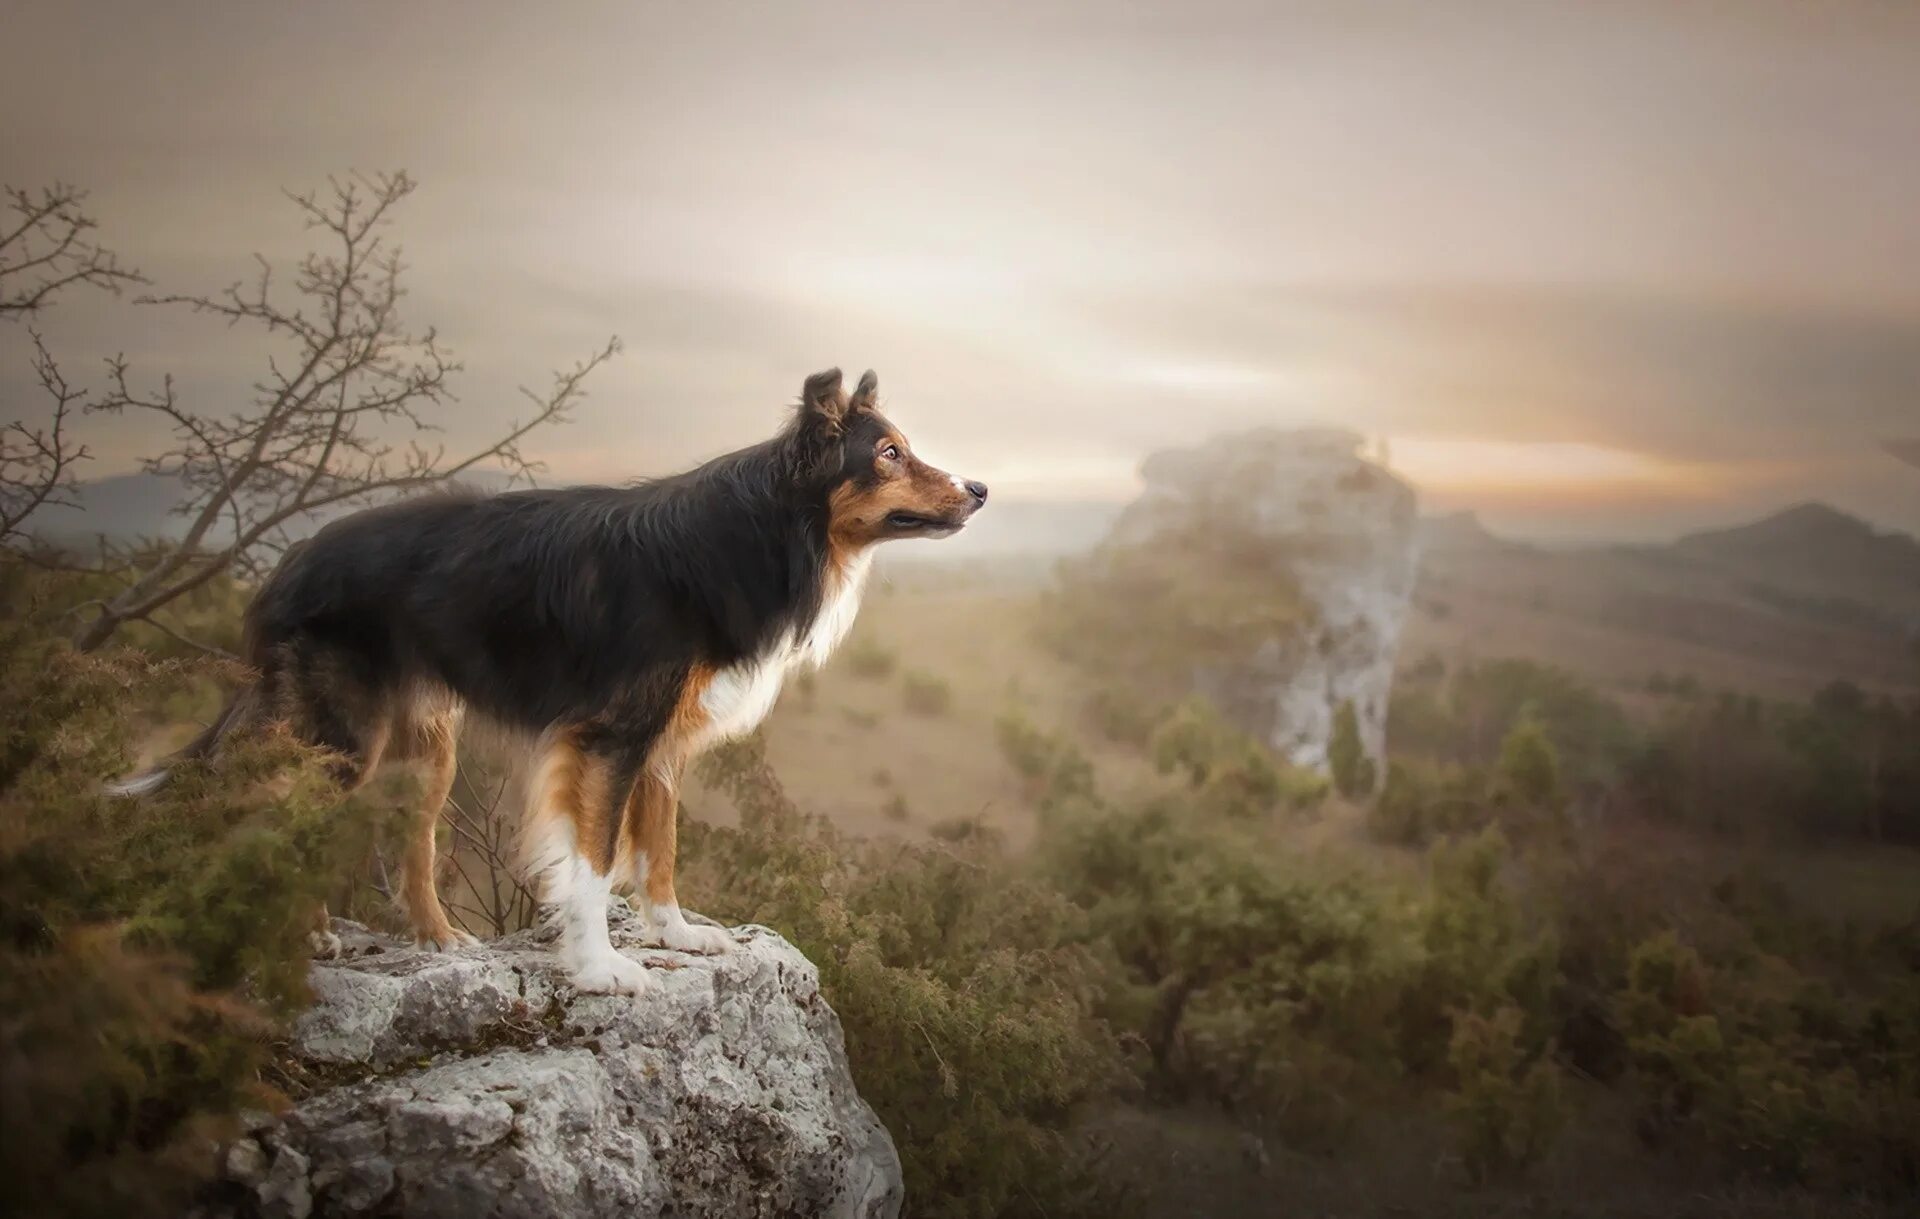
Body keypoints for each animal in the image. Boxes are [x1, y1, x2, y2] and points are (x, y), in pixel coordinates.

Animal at [112, 370, 990, 990]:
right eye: (888, 453)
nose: (980, 489)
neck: (759, 529)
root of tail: (289, 560)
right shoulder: (609, 738)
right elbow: (594, 864)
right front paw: (602, 969)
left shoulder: (659, 745)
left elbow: (660, 846)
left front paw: (677, 934)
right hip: (342, 738)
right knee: (279, 812)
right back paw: (307, 933)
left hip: (427, 748)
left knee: (411, 847)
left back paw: (438, 939)